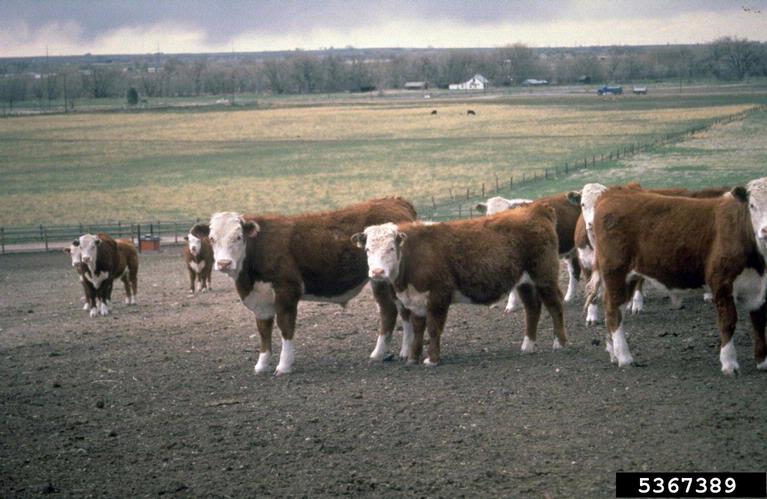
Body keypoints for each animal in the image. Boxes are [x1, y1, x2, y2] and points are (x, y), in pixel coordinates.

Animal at [190, 197, 417, 375]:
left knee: (389, 311)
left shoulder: (287, 292)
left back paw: (379, 354)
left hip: (382, 279)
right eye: (212, 239)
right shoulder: (260, 299)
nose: (223, 263)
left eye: (238, 237)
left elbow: (285, 327)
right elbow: (264, 331)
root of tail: (395, 200)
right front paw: (261, 365)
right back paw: (404, 351)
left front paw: (283, 366)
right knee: (402, 310)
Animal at [353, 202, 566, 365]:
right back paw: (527, 346)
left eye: (391, 248)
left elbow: (434, 328)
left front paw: (432, 360)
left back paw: (560, 344)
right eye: (367, 249)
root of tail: (537, 209)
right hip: (525, 282)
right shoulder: (416, 299)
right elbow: (418, 329)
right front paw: (413, 358)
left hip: (544, 275)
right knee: (532, 308)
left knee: (555, 304)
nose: (377, 272)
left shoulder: (439, 296)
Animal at [589, 178, 767, 374]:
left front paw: (762, 361)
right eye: (752, 205)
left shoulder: (759, 289)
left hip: (628, 277)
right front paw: (729, 364)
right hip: (616, 273)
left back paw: (613, 353)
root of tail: (614, 192)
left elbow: (759, 323)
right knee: (613, 311)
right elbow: (728, 322)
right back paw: (624, 357)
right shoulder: (722, 283)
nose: (765, 230)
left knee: (611, 308)